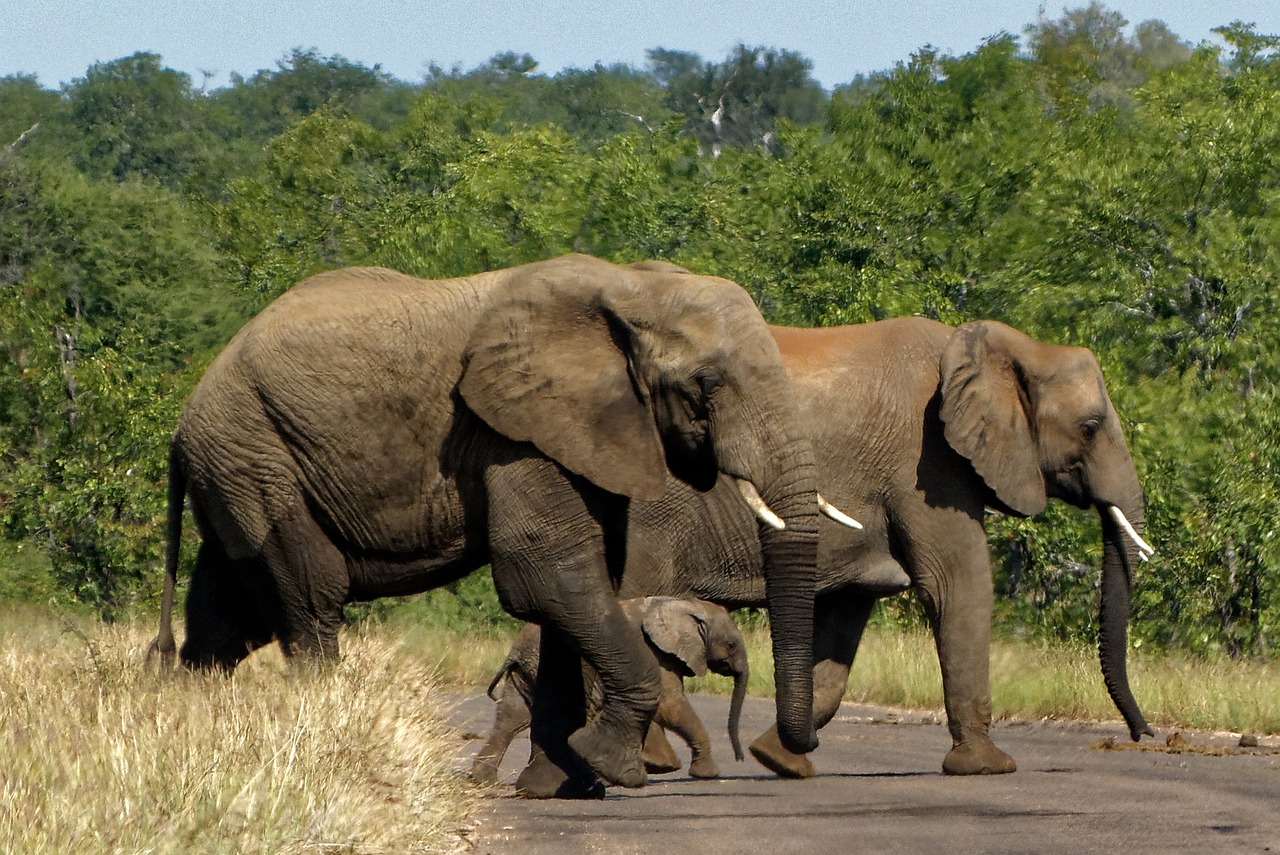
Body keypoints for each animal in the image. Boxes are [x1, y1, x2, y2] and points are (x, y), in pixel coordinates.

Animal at [471, 599, 747, 783]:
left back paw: (484, 780)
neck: (685, 604)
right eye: (731, 645)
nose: (741, 759)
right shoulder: (656, 653)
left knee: (512, 719)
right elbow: (669, 703)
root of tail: (514, 650)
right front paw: (705, 774)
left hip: (529, 671)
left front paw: (658, 767)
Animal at [609, 317, 1162, 778]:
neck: (995, 346)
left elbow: (846, 617)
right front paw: (989, 767)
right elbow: (957, 584)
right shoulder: (928, 463)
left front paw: (782, 760)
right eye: (1090, 427)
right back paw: (654, 762)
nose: (1146, 734)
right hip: (647, 519)